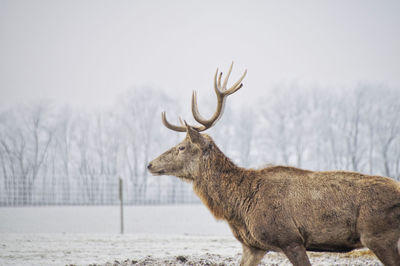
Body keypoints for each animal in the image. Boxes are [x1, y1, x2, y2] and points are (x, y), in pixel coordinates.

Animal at [147, 62, 400, 266]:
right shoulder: (253, 246)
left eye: (181, 147)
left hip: (377, 234)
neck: (239, 207)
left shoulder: (290, 239)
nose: (149, 164)